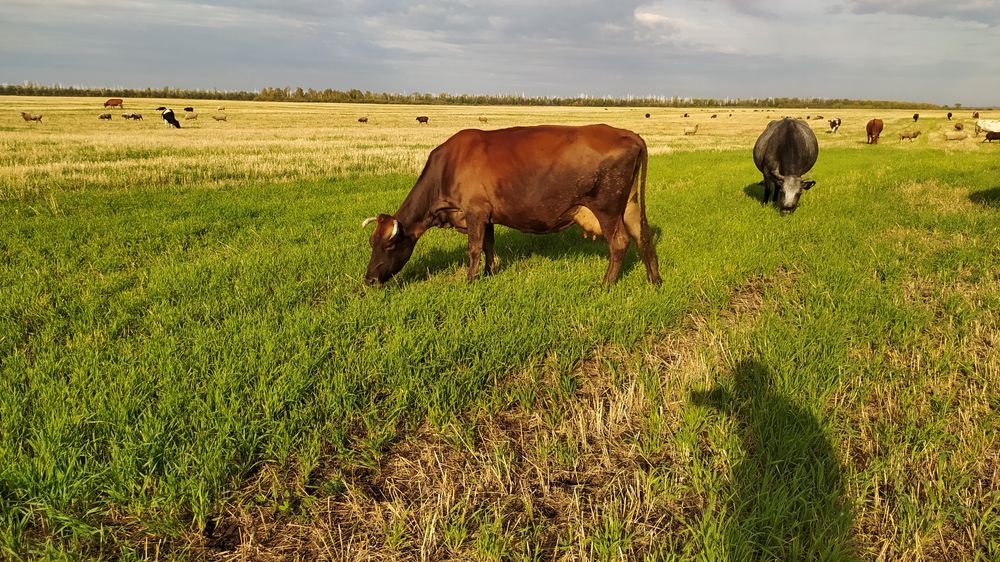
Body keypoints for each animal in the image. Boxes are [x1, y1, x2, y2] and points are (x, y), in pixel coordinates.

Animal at [361, 124, 662, 286]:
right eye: (372, 243)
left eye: (390, 244)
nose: (369, 279)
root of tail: (629, 134)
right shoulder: (487, 216)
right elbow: (488, 246)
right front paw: (488, 272)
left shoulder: (475, 212)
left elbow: (473, 249)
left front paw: (470, 280)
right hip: (630, 204)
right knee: (643, 236)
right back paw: (654, 280)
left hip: (607, 208)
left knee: (619, 242)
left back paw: (606, 284)